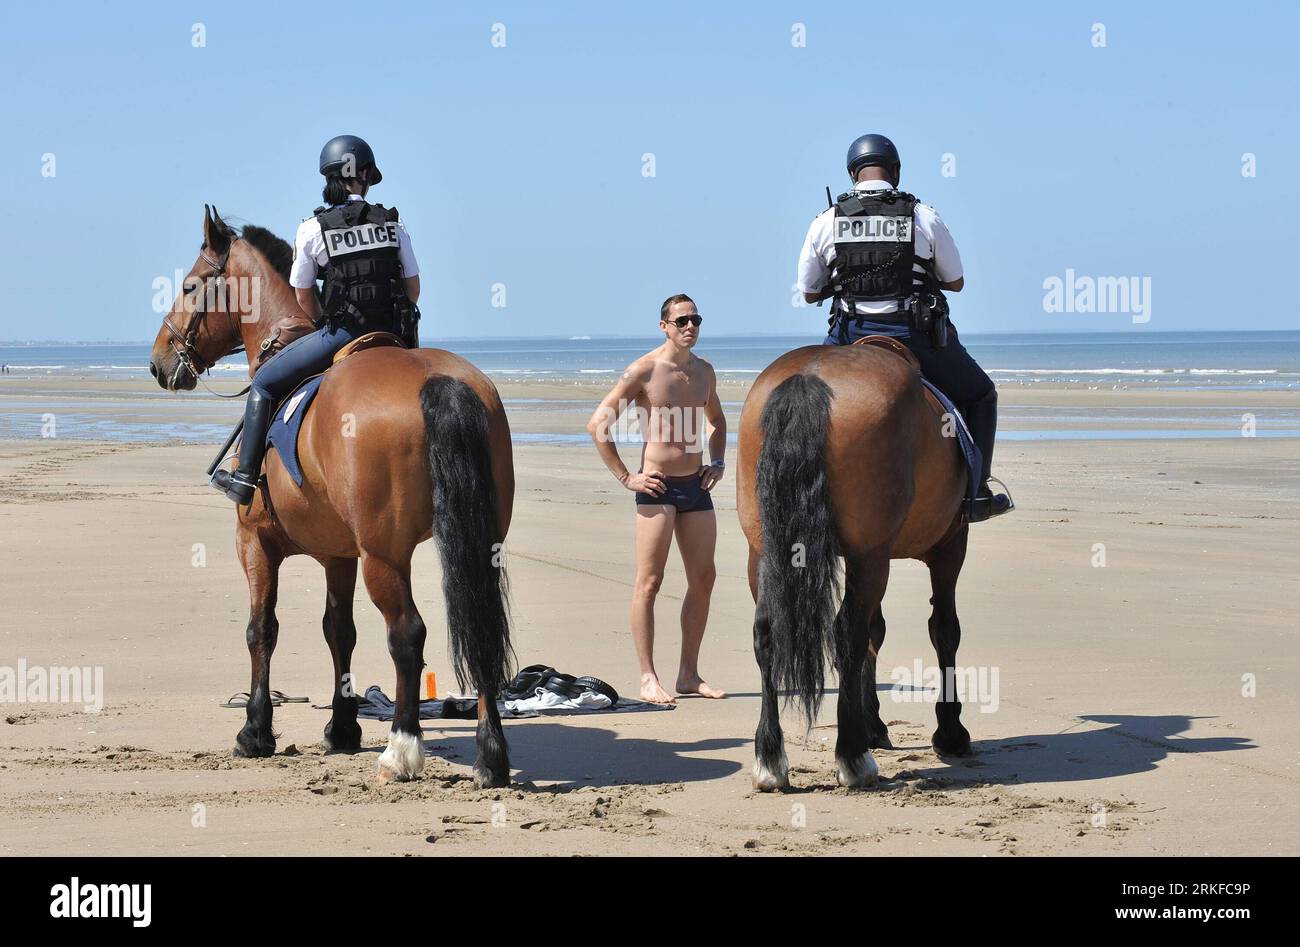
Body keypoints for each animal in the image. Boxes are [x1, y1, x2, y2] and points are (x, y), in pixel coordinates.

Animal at [149, 209, 514, 790]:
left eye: (189, 286)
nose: (159, 360)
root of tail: (438, 381)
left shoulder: (255, 544)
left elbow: (262, 630)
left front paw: (255, 731)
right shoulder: (339, 556)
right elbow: (339, 631)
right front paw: (342, 728)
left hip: (384, 556)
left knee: (407, 634)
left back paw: (402, 750)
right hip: (479, 544)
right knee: (481, 632)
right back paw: (490, 757)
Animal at [738, 340, 972, 790]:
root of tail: (809, 376)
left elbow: (876, 633)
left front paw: (874, 724)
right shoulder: (949, 546)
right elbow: (944, 631)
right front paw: (950, 731)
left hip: (764, 550)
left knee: (767, 633)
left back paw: (771, 758)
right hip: (872, 555)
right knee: (847, 631)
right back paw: (853, 756)